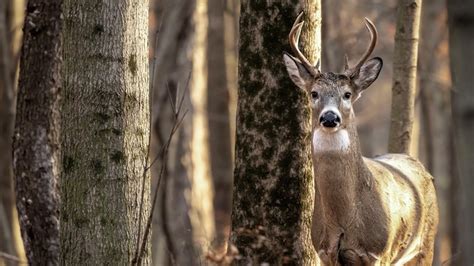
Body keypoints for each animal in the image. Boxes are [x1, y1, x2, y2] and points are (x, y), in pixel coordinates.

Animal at [284, 13, 438, 264]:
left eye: (347, 94)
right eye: (314, 93)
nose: (329, 117)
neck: (343, 219)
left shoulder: (377, 252)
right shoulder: (325, 252)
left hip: (425, 244)